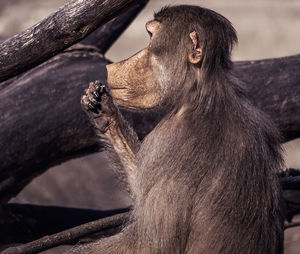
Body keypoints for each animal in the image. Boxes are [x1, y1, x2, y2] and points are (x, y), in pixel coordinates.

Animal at [67, 4, 282, 254]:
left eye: (151, 39)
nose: (115, 65)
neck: (201, 95)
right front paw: (103, 109)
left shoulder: (170, 141)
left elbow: (153, 244)